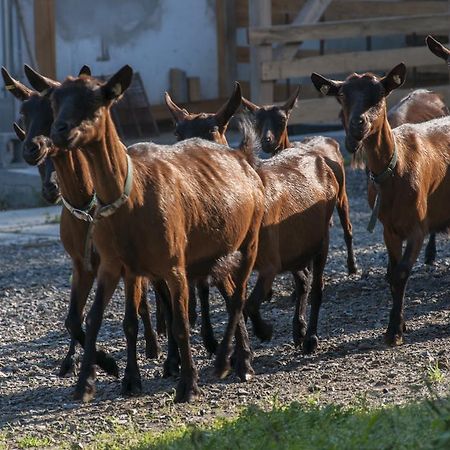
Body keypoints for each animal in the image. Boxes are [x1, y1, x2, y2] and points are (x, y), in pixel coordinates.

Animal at [0, 67, 160, 382]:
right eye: (24, 112)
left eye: (52, 109)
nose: (31, 148)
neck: (87, 202)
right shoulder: (80, 263)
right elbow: (74, 320)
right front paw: (102, 362)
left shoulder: (122, 263)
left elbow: (129, 317)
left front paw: (126, 370)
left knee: (145, 300)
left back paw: (154, 345)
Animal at [45, 65, 264, 402]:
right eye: (55, 102)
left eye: (96, 100)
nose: (59, 131)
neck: (132, 194)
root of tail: (242, 158)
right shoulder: (114, 264)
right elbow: (95, 319)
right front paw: (88, 382)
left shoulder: (173, 264)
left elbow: (180, 323)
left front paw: (188, 383)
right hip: (214, 254)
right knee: (229, 294)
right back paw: (236, 358)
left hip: (248, 241)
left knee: (237, 297)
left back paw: (231, 362)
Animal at [312, 62, 450, 344]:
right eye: (342, 96)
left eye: (379, 94)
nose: (357, 126)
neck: (395, 167)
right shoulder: (389, 229)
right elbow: (391, 274)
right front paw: (399, 324)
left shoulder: (418, 226)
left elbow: (401, 273)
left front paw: (394, 330)